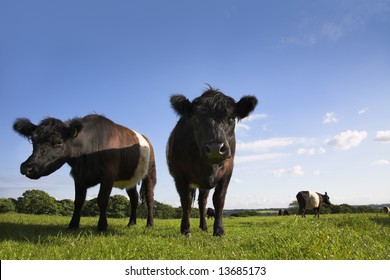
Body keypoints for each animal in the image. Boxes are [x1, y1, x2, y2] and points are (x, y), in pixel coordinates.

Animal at [13, 114, 157, 232]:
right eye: (33, 140)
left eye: (58, 142)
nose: (26, 167)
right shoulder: (78, 176)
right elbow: (78, 201)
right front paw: (73, 225)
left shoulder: (108, 175)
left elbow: (102, 199)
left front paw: (102, 226)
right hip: (130, 178)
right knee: (134, 199)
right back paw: (131, 223)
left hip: (150, 173)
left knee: (149, 198)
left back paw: (150, 224)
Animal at [166, 87, 258, 236]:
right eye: (196, 118)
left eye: (231, 118)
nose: (215, 149)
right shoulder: (179, 175)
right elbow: (185, 201)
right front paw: (185, 230)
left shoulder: (228, 171)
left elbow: (219, 199)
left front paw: (219, 230)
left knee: (202, 202)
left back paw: (204, 226)